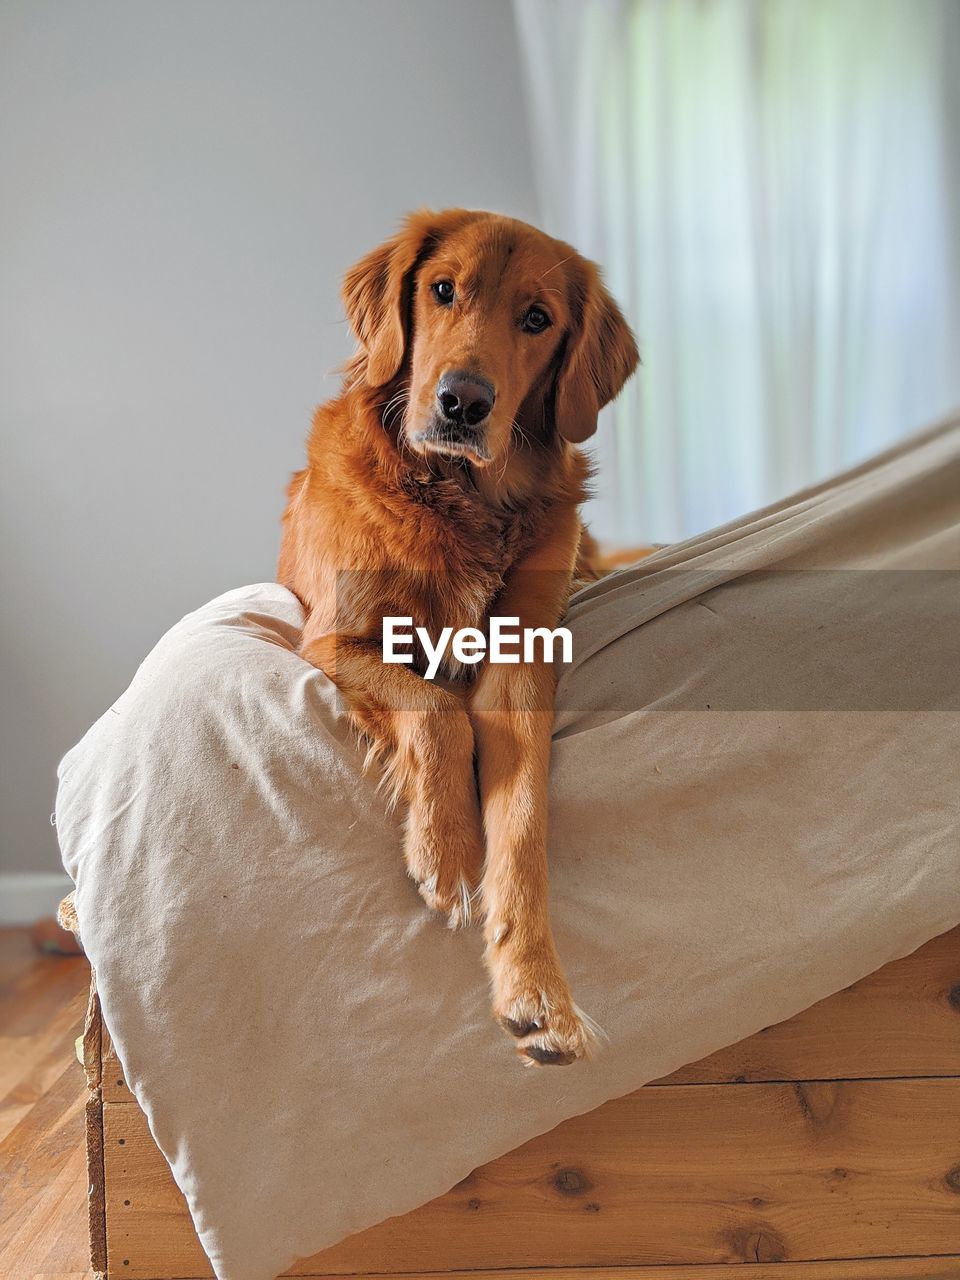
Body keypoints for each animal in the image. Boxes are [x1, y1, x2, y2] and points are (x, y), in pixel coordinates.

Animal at [277, 209, 640, 1064]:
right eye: (442, 290)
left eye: (537, 318)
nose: (463, 402)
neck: (456, 500)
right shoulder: (333, 641)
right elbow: (436, 711)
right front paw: (444, 852)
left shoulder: (521, 658)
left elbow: (523, 821)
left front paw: (537, 990)